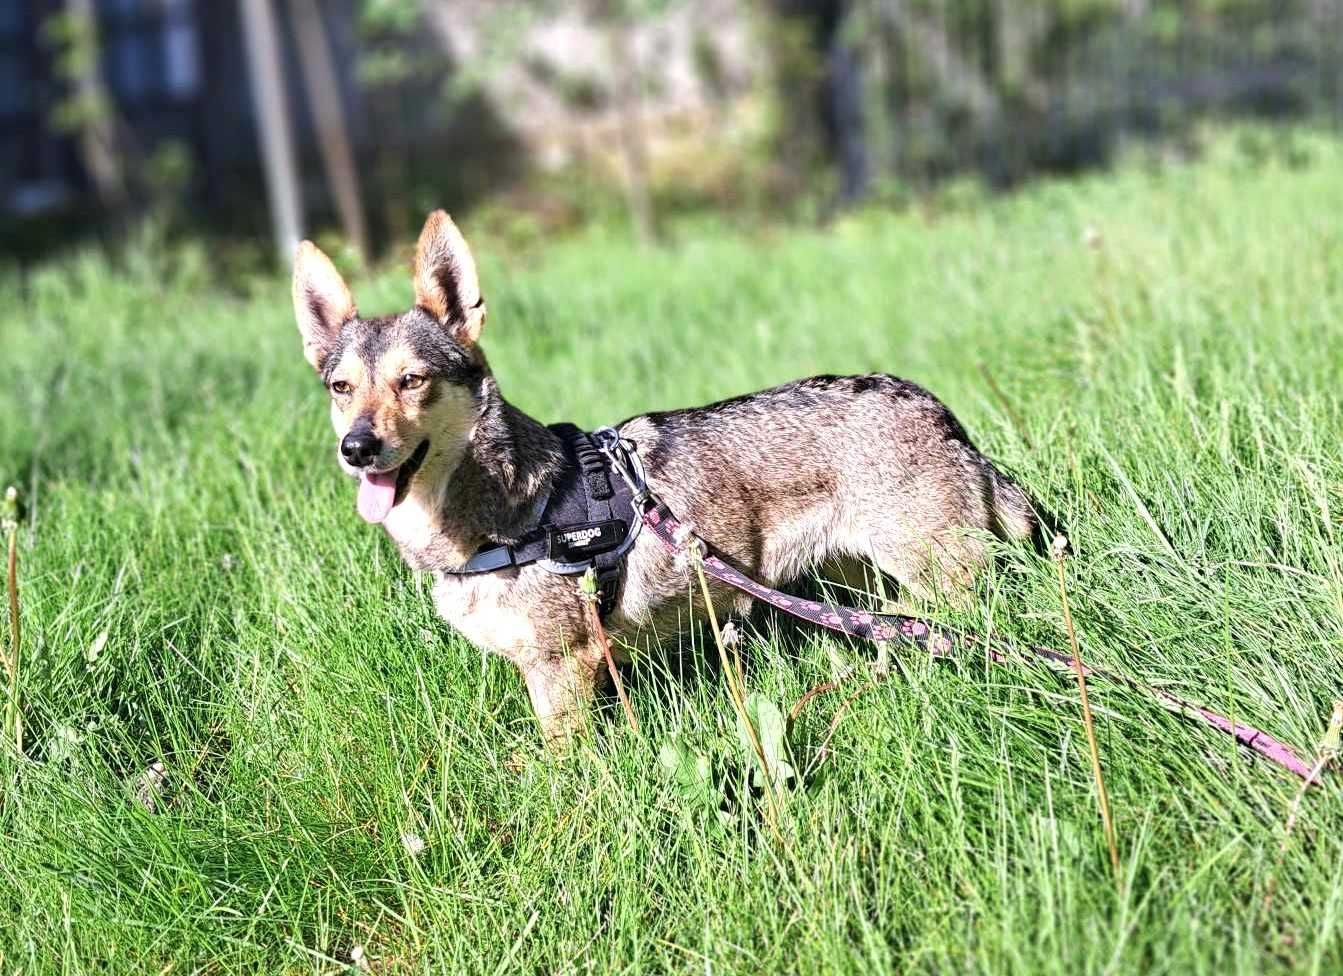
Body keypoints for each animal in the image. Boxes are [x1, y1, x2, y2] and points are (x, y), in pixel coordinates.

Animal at [294, 212, 1036, 741]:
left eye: (411, 381)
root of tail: (938, 409)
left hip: (944, 585)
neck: (499, 516)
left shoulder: (563, 668)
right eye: (340, 388)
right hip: (867, 585)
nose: (357, 448)